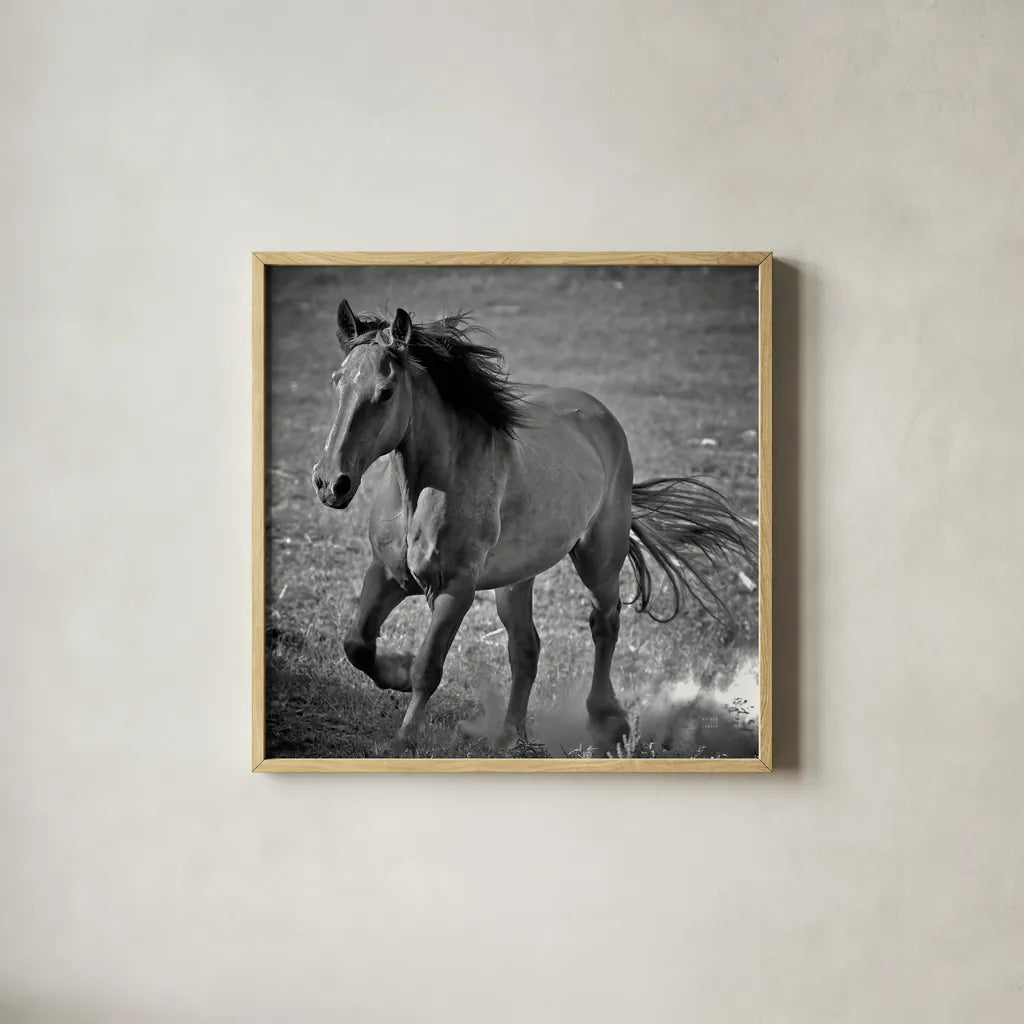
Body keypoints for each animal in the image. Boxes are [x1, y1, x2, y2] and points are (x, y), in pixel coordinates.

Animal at [311, 299, 757, 756]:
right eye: (337, 381)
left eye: (386, 392)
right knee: (526, 648)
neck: (424, 492)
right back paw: (511, 736)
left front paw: (404, 739)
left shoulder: (456, 589)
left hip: (598, 560)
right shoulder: (387, 574)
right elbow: (357, 644)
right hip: (516, 580)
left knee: (604, 624)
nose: (331, 483)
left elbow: (428, 667)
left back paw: (606, 723)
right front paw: (396, 672)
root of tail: (602, 418)